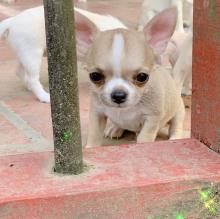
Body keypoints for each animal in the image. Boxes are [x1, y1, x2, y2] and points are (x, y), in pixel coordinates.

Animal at [79, 7, 186, 147]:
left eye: (142, 77)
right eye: (95, 76)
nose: (118, 95)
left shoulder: (152, 118)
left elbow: (144, 138)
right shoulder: (97, 113)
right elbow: (94, 134)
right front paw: (91, 147)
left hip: (178, 111)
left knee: (176, 125)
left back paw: (175, 138)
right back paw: (115, 128)